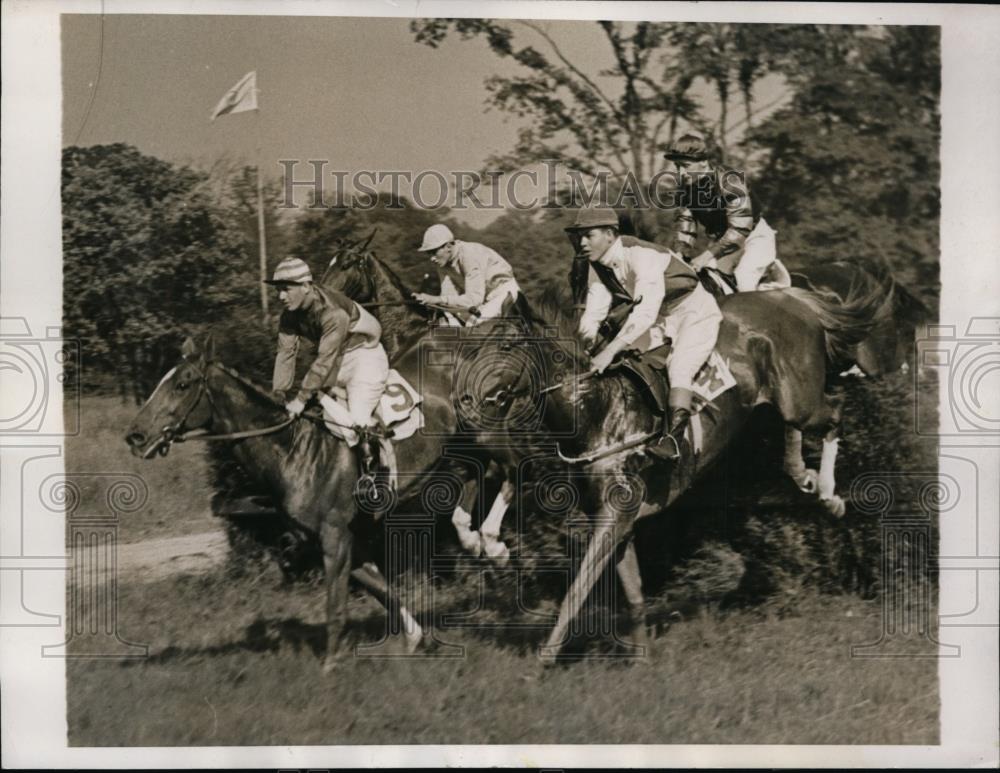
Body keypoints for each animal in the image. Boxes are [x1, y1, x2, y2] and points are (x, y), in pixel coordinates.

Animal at [125, 334, 458, 672]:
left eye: (182, 384)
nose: (135, 435)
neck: (295, 447)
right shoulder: (344, 539)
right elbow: (383, 589)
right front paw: (417, 639)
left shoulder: (335, 536)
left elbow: (335, 605)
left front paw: (331, 664)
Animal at [320, 238, 524, 564]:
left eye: (347, 264)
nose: (321, 296)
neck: (406, 332)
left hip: (485, 427)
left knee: (513, 465)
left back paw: (493, 542)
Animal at [452, 278, 884, 664]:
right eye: (477, 344)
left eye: (506, 346)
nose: (464, 399)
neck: (597, 410)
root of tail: (789, 297)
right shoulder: (618, 522)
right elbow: (634, 594)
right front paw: (640, 659)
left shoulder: (613, 517)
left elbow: (577, 588)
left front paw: (544, 658)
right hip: (782, 402)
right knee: (795, 429)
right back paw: (802, 474)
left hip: (801, 399)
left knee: (835, 414)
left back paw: (829, 494)